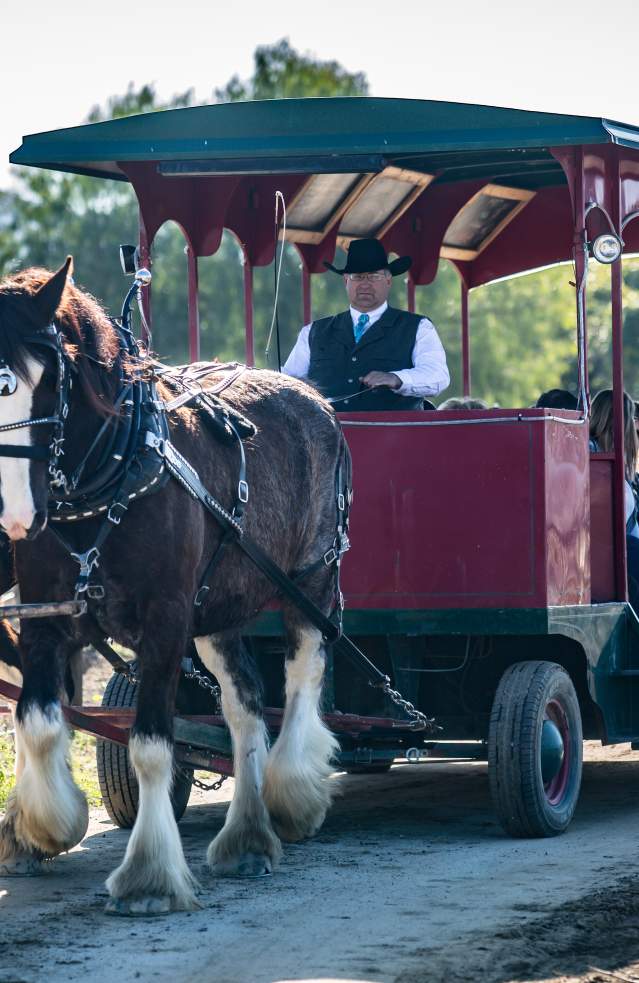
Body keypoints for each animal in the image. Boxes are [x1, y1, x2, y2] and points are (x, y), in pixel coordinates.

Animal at [0, 258, 348, 915]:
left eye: (42, 381)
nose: (15, 515)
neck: (108, 476)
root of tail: (315, 398)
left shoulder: (164, 622)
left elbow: (151, 745)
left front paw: (149, 875)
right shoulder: (43, 618)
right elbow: (37, 721)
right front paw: (43, 825)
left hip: (311, 580)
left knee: (302, 675)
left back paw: (292, 792)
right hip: (217, 610)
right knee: (244, 704)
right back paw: (247, 838)